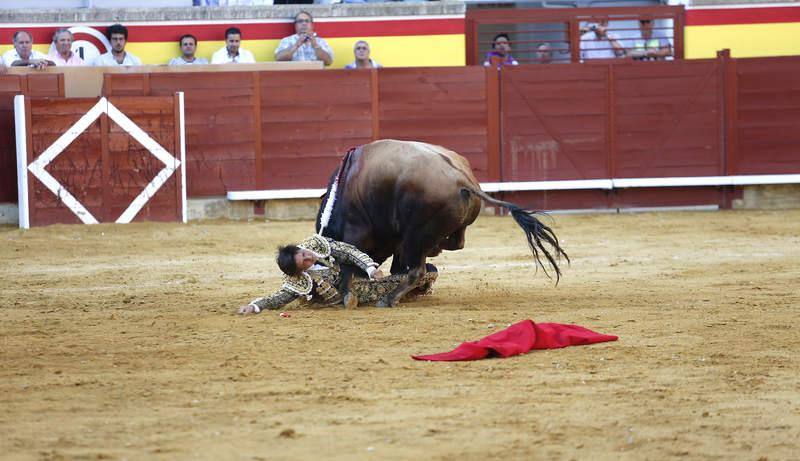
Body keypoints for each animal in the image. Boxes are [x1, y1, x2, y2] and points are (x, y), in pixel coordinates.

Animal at [314, 138, 568, 308]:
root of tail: (462, 180)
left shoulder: (356, 232)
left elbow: (348, 265)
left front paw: (347, 297)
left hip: (417, 234)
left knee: (417, 268)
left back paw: (389, 299)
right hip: (444, 227)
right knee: (456, 243)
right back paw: (433, 253)